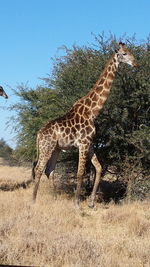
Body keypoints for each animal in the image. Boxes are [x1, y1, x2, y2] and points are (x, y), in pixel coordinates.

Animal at [32, 43, 137, 208]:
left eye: (130, 52)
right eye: (124, 53)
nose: (135, 63)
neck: (92, 111)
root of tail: (38, 134)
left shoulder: (90, 144)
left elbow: (99, 168)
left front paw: (91, 202)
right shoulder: (82, 143)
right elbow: (80, 173)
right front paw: (77, 203)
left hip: (56, 149)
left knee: (50, 171)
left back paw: (54, 199)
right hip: (46, 147)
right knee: (38, 169)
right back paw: (33, 201)